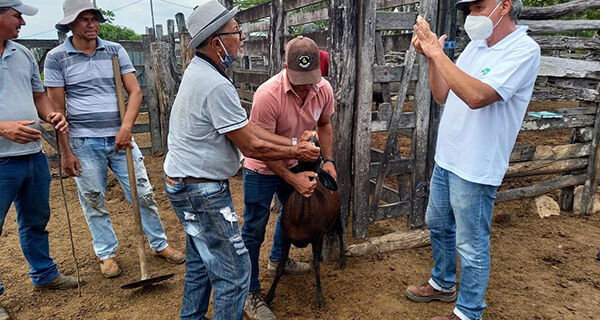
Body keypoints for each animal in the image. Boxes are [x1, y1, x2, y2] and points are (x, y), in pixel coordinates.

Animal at [264, 139, 344, 308]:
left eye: (319, 157)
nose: (314, 140)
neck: (300, 218)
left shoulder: (317, 238)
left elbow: (316, 266)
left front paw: (319, 297)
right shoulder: (286, 238)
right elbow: (280, 266)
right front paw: (269, 296)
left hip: (338, 215)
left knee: (340, 232)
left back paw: (342, 260)